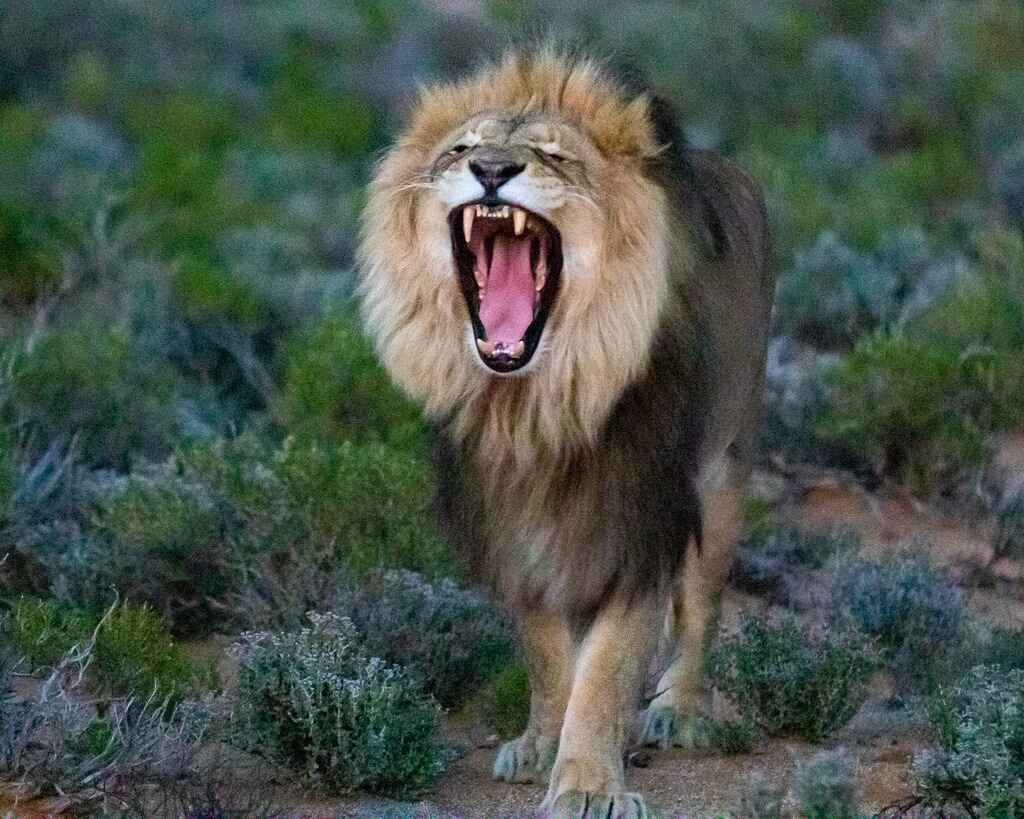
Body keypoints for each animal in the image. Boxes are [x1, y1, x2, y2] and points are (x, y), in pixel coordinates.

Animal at [358, 48, 774, 818]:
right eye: (461, 148)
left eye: (552, 154)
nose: (492, 169)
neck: (538, 407)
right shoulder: (515, 527)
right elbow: (550, 657)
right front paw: (540, 746)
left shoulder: (641, 525)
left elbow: (606, 667)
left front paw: (586, 782)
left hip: (726, 470)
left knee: (701, 605)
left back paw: (679, 710)